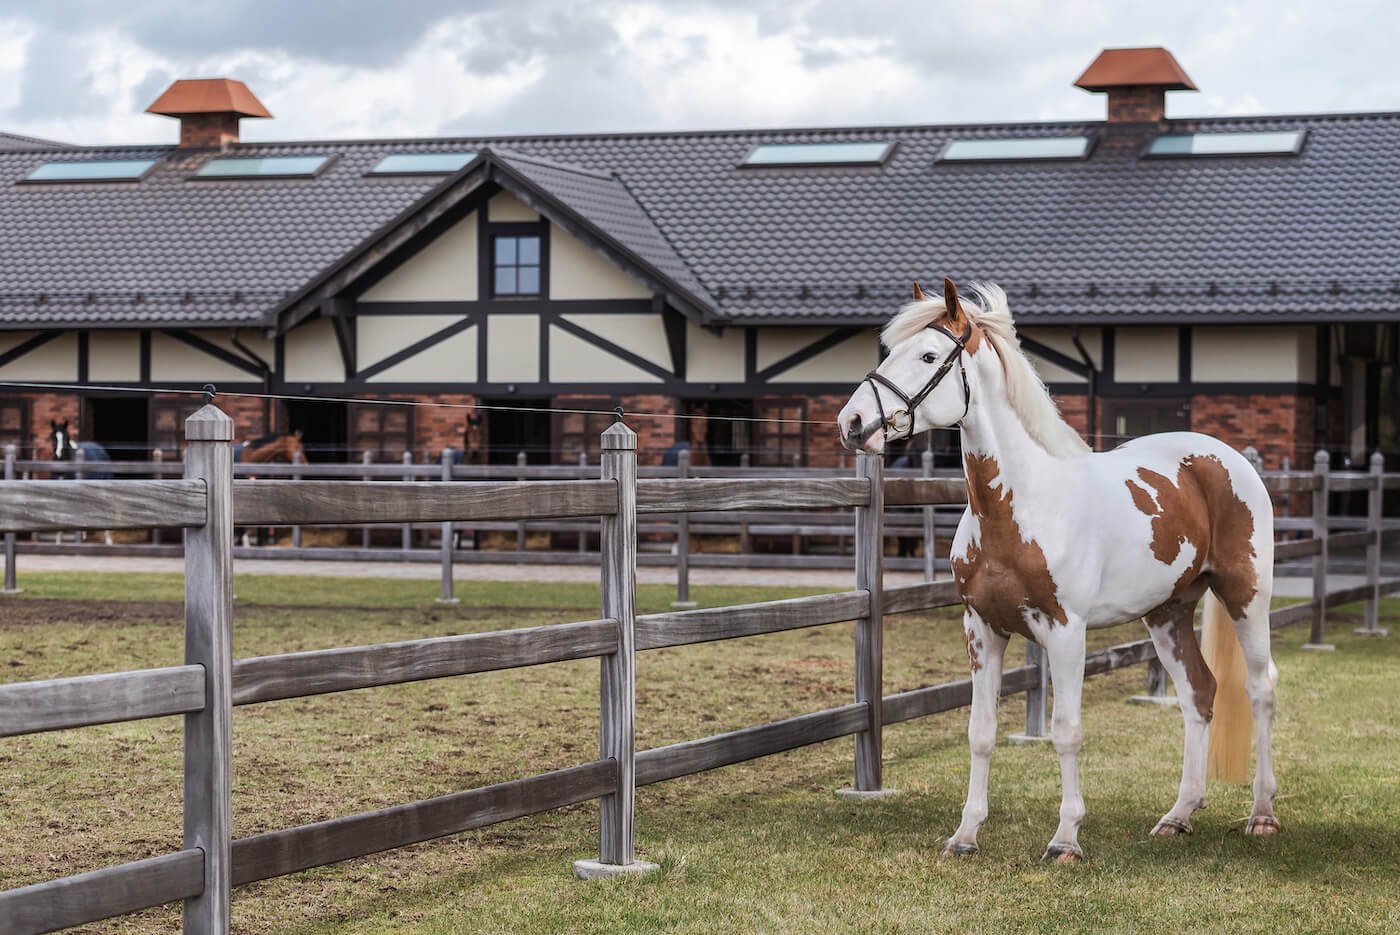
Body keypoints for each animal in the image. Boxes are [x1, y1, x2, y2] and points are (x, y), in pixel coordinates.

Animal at [838, 279, 1278, 863]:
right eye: (890, 351)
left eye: (929, 355)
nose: (851, 424)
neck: (1021, 504)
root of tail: (1225, 458)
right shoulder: (981, 629)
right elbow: (980, 731)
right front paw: (965, 835)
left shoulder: (1066, 632)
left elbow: (1065, 730)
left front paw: (1066, 838)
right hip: (1168, 612)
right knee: (1198, 694)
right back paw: (1178, 816)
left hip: (1246, 596)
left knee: (1260, 688)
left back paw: (1262, 814)